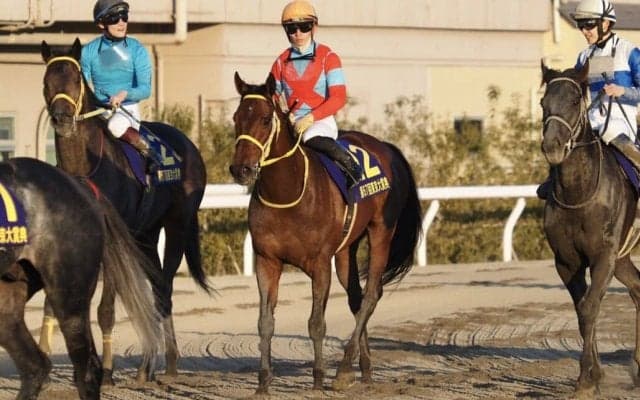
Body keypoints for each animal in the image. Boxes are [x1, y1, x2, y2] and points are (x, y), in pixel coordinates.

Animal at [40, 38, 210, 383]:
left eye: (75, 79)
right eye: (47, 81)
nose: (62, 119)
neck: (87, 167)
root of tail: (188, 144)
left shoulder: (111, 240)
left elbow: (106, 309)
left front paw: (105, 371)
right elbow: (55, 303)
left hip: (176, 225)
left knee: (163, 289)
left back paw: (169, 362)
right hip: (145, 235)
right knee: (156, 286)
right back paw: (147, 366)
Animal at [230, 72, 422, 393]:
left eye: (266, 119)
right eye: (236, 118)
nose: (240, 169)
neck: (288, 193)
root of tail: (386, 147)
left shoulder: (320, 264)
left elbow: (316, 323)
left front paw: (319, 378)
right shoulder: (267, 261)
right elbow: (265, 322)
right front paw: (263, 382)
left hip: (381, 231)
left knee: (371, 295)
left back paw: (344, 369)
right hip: (346, 249)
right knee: (357, 297)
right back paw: (364, 369)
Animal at [540, 61, 640, 397]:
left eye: (574, 101)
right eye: (543, 103)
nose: (552, 147)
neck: (579, 194)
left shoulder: (603, 257)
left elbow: (590, 307)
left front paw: (586, 379)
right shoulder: (567, 261)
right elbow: (582, 311)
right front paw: (593, 375)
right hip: (623, 258)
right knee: (638, 290)